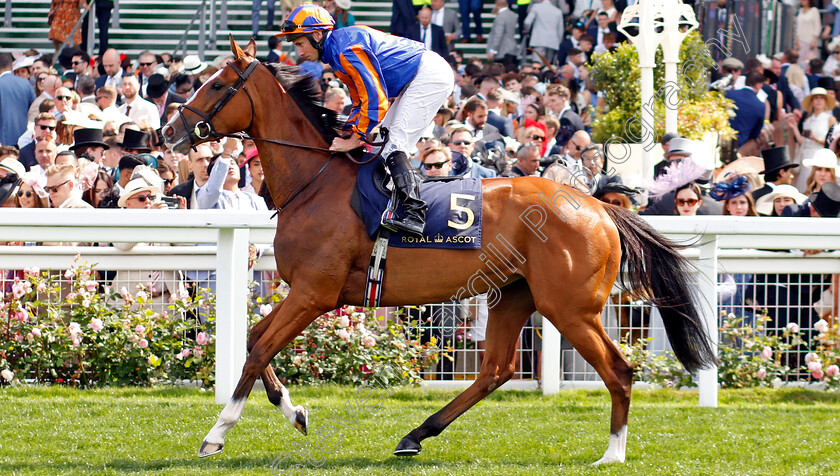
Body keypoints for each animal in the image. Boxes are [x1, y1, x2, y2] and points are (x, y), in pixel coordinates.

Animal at [161, 39, 712, 466]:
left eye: (216, 85)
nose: (169, 132)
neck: (313, 182)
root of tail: (598, 206)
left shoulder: (314, 294)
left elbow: (257, 349)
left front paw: (216, 435)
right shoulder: (307, 293)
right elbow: (256, 340)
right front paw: (294, 411)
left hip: (570, 306)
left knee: (618, 371)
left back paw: (612, 453)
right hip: (514, 294)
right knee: (495, 371)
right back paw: (415, 435)